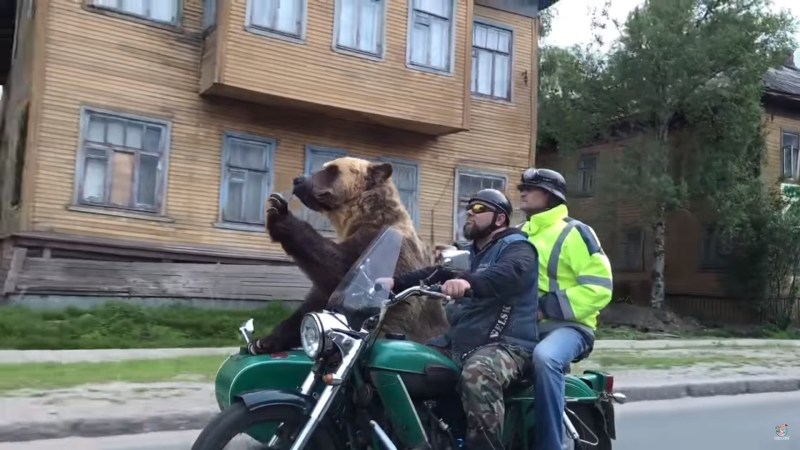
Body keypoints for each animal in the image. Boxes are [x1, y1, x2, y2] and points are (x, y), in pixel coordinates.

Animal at [250, 156, 450, 354]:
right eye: (325, 167)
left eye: (332, 169)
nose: (298, 180)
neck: (359, 217)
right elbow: (316, 302)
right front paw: (264, 341)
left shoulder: (383, 248)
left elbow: (344, 269)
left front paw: (279, 213)